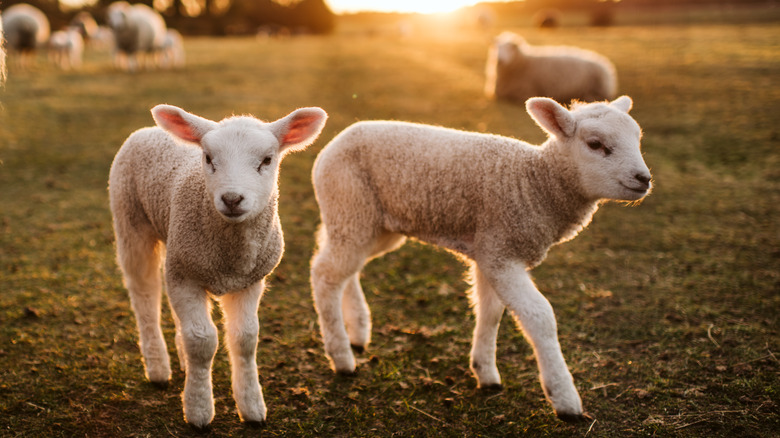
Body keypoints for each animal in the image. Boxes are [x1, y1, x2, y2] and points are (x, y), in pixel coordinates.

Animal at [108, 102, 328, 424]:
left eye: (267, 160)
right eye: (208, 158)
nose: (232, 199)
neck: (230, 258)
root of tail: (148, 130)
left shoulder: (248, 280)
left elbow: (245, 338)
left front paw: (251, 406)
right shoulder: (186, 276)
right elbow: (202, 341)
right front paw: (199, 409)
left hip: (175, 247)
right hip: (131, 222)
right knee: (144, 295)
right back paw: (158, 367)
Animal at [310, 95, 652, 420]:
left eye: (637, 138)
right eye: (595, 144)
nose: (644, 178)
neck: (534, 182)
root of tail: (338, 139)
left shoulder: (490, 251)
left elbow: (490, 312)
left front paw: (485, 372)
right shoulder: (501, 253)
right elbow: (539, 317)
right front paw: (564, 398)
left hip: (371, 224)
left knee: (345, 268)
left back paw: (358, 331)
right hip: (350, 205)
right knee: (325, 273)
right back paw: (341, 356)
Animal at [484, 31, 620, 105]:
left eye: (510, 49)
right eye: (496, 47)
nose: (500, 60)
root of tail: (605, 64)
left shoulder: (526, 92)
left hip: (597, 89)